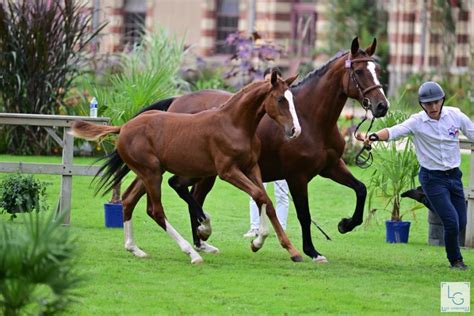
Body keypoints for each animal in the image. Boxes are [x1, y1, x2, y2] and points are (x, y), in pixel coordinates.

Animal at [71, 71, 302, 264]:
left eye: (292, 100)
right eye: (280, 99)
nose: (295, 130)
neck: (234, 124)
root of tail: (124, 127)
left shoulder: (252, 168)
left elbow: (264, 199)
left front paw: (275, 246)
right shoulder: (228, 172)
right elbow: (258, 195)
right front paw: (255, 241)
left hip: (150, 173)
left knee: (129, 199)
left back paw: (134, 248)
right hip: (152, 173)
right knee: (155, 210)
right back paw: (191, 253)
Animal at [118, 37, 388, 262]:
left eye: (377, 70)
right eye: (359, 71)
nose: (382, 106)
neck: (312, 119)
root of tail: (176, 101)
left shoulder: (331, 167)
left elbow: (361, 189)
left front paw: (346, 224)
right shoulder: (297, 176)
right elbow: (303, 213)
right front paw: (312, 251)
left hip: (194, 172)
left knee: (183, 192)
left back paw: (199, 241)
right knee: (181, 193)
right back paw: (199, 236)